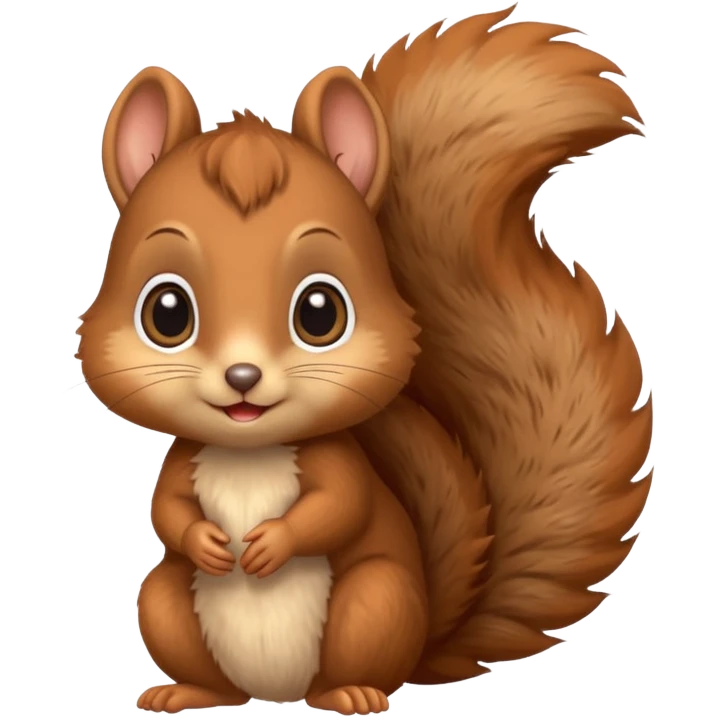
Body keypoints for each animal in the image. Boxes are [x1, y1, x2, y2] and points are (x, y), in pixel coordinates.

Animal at [78, 6, 654, 716]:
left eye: (321, 312)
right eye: (165, 313)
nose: (242, 379)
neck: (249, 452)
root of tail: (278, 693)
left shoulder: (337, 462)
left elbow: (340, 507)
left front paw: (271, 542)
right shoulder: (185, 464)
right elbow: (168, 512)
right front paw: (208, 541)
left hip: (376, 600)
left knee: (357, 657)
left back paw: (351, 693)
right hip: (164, 600)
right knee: (201, 656)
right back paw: (185, 690)